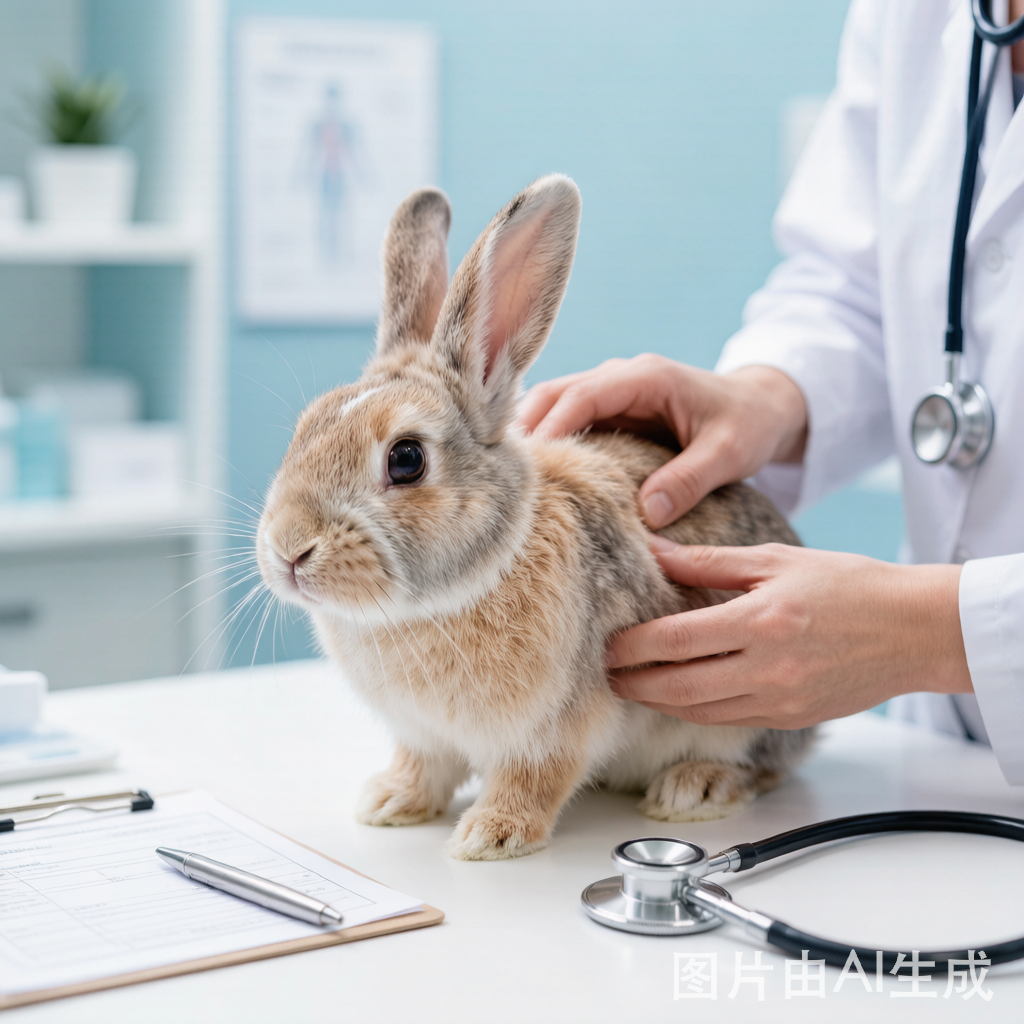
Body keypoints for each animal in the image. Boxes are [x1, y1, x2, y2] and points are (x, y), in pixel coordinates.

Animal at [256, 175, 814, 861]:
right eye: (304, 430)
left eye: (406, 459)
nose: (288, 549)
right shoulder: (421, 735)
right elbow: (421, 767)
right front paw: (388, 803)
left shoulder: (558, 726)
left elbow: (536, 778)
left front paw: (491, 835)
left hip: (749, 712)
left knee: (764, 767)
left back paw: (694, 788)